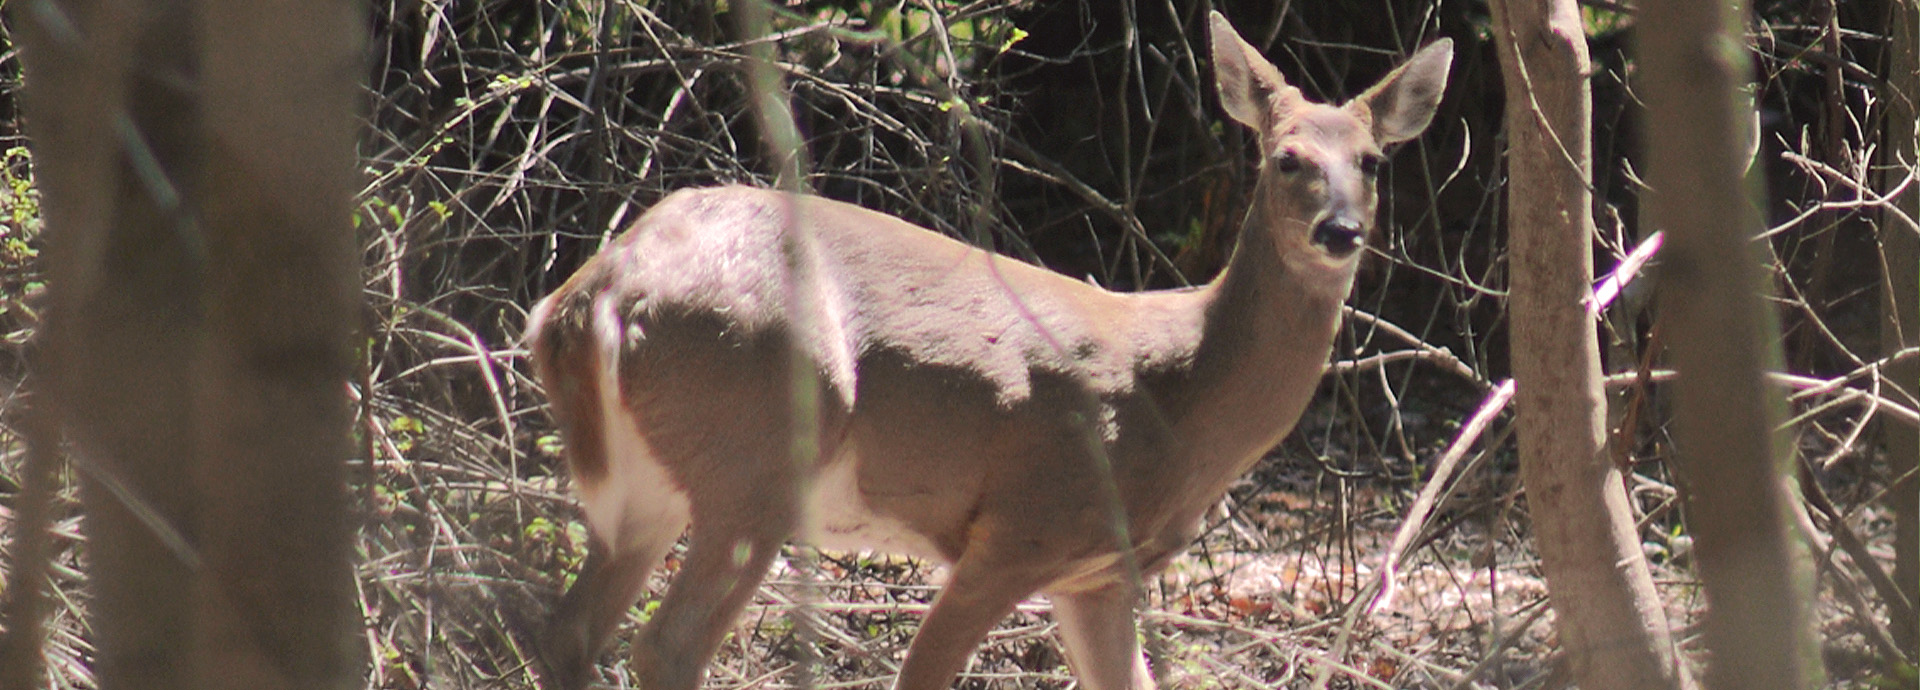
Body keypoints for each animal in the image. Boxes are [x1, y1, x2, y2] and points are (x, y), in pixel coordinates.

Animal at [529, 12, 1451, 690]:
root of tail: (595, 295)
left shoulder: (1098, 572)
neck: (1181, 399)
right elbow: (921, 673)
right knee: (665, 648)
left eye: (1372, 160)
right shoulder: (1020, 529)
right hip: (760, 447)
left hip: (655, 483)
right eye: (1286, 157)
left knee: (570, 630)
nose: (1341, 231)